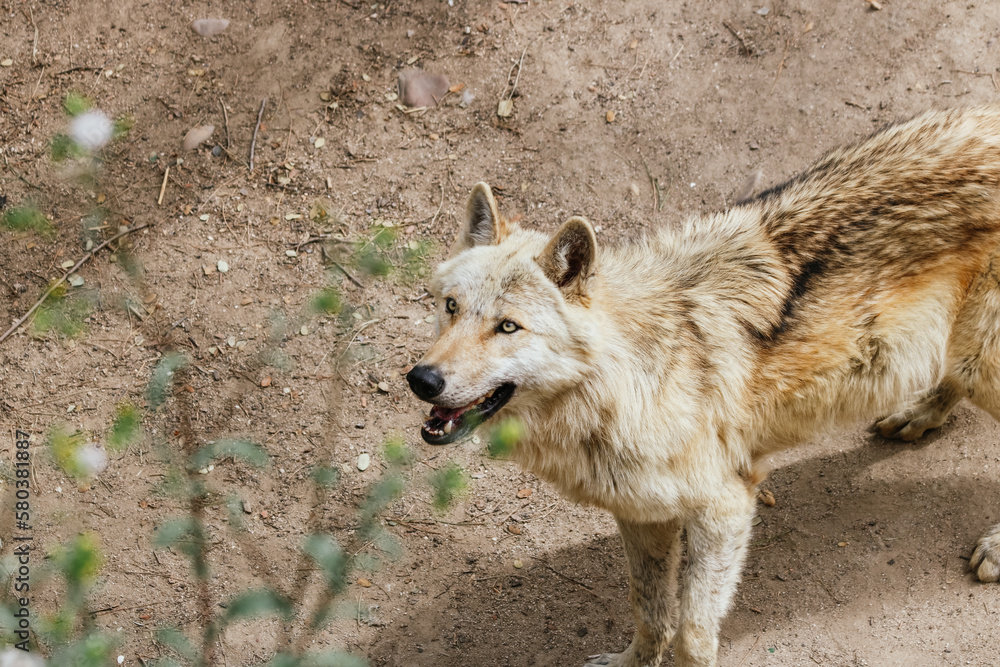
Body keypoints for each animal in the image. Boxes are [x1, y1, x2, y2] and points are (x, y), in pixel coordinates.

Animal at [406, 106, 1000, 667]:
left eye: (508, 327)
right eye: (451, 307)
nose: (421, 379)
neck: (635, 378)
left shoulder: (726, 507)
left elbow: (692, 635)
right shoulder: (642, 515)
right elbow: (649, 611)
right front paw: (632, 661)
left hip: (986, 366)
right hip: (961, 356)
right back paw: (918, 414)